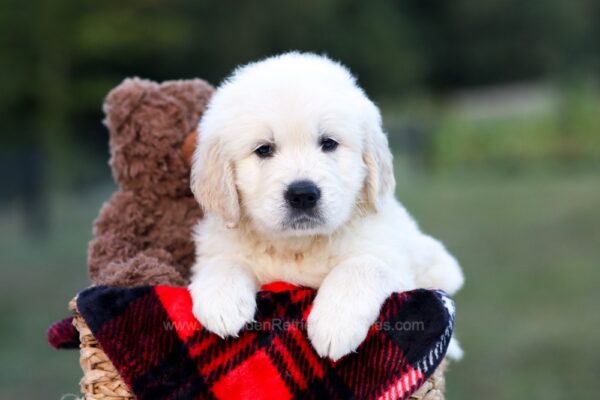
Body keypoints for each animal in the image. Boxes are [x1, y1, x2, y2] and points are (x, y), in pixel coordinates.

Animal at [188, 51, 464, 360]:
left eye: (329, 143)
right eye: (264, 149)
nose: (302, 195)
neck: (299, 247)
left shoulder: (395, 265)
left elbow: (362, 265)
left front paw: (335, 325)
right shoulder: (219, 244)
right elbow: (222, 262)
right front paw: (221, 303)